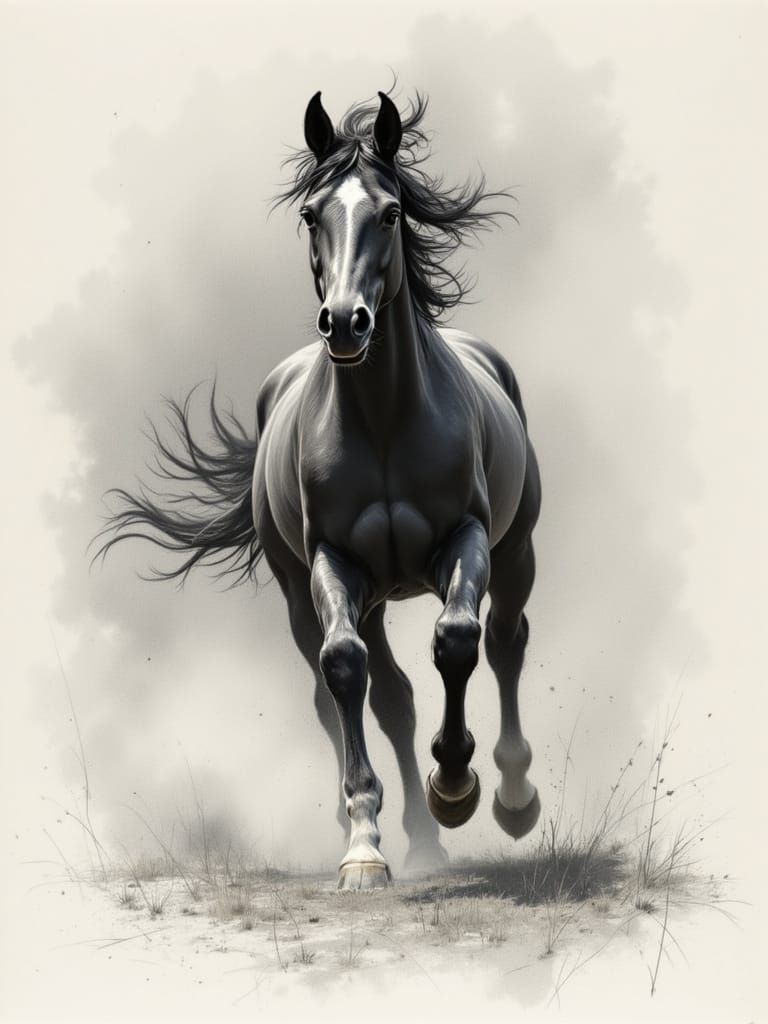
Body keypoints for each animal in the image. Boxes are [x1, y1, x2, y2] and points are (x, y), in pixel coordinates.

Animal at [97, 89, 542, 890]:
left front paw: (457, 781)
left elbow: (457, 639)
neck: (385, 419)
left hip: (517, 550)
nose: (344, 322)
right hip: (321, 589)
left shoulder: (464, 539)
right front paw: (364, 846)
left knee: (502, 641)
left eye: (390, 213)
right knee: (378, 693)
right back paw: (419, 842)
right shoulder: (334, 562)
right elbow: (345, 669)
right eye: (311, 213)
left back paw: (512, 797)